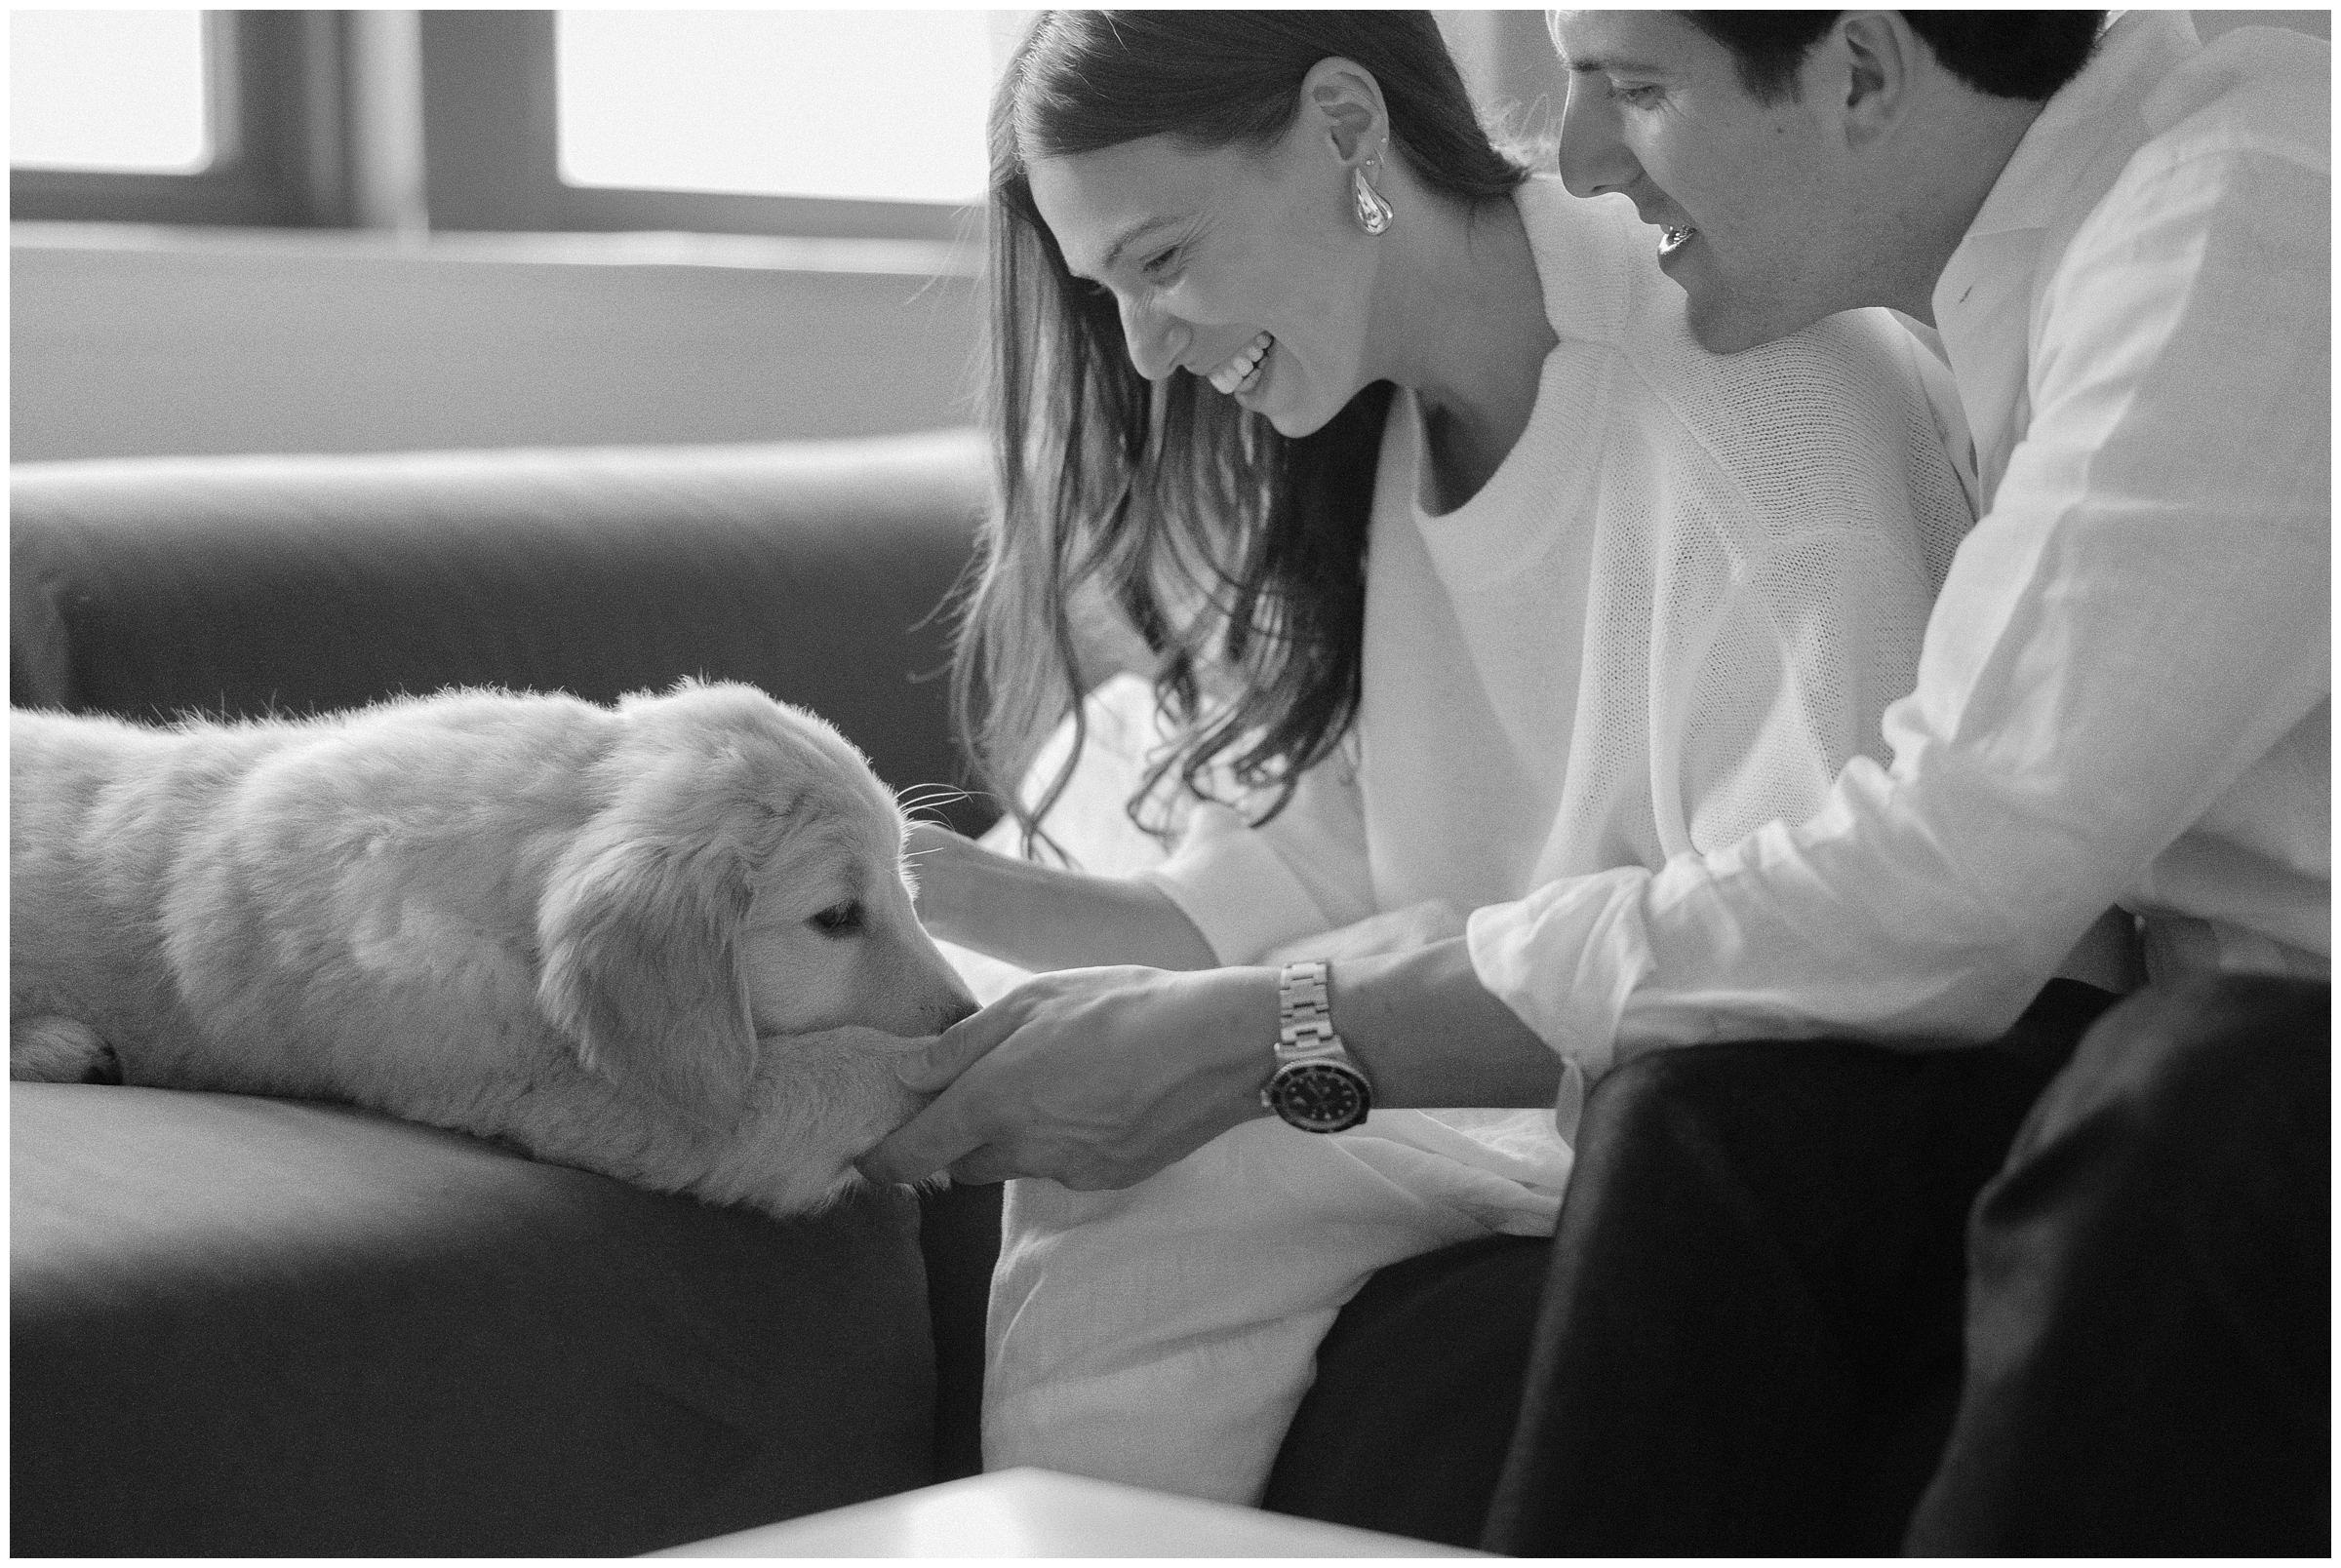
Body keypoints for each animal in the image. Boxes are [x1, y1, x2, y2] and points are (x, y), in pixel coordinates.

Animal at [4, 683, 973, 1217]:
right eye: (837, 918)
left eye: (904, 887)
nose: (967, 1010)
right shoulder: (587, 1094)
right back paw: (59, 1043)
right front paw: (944, 1067)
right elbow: (842, 1070)